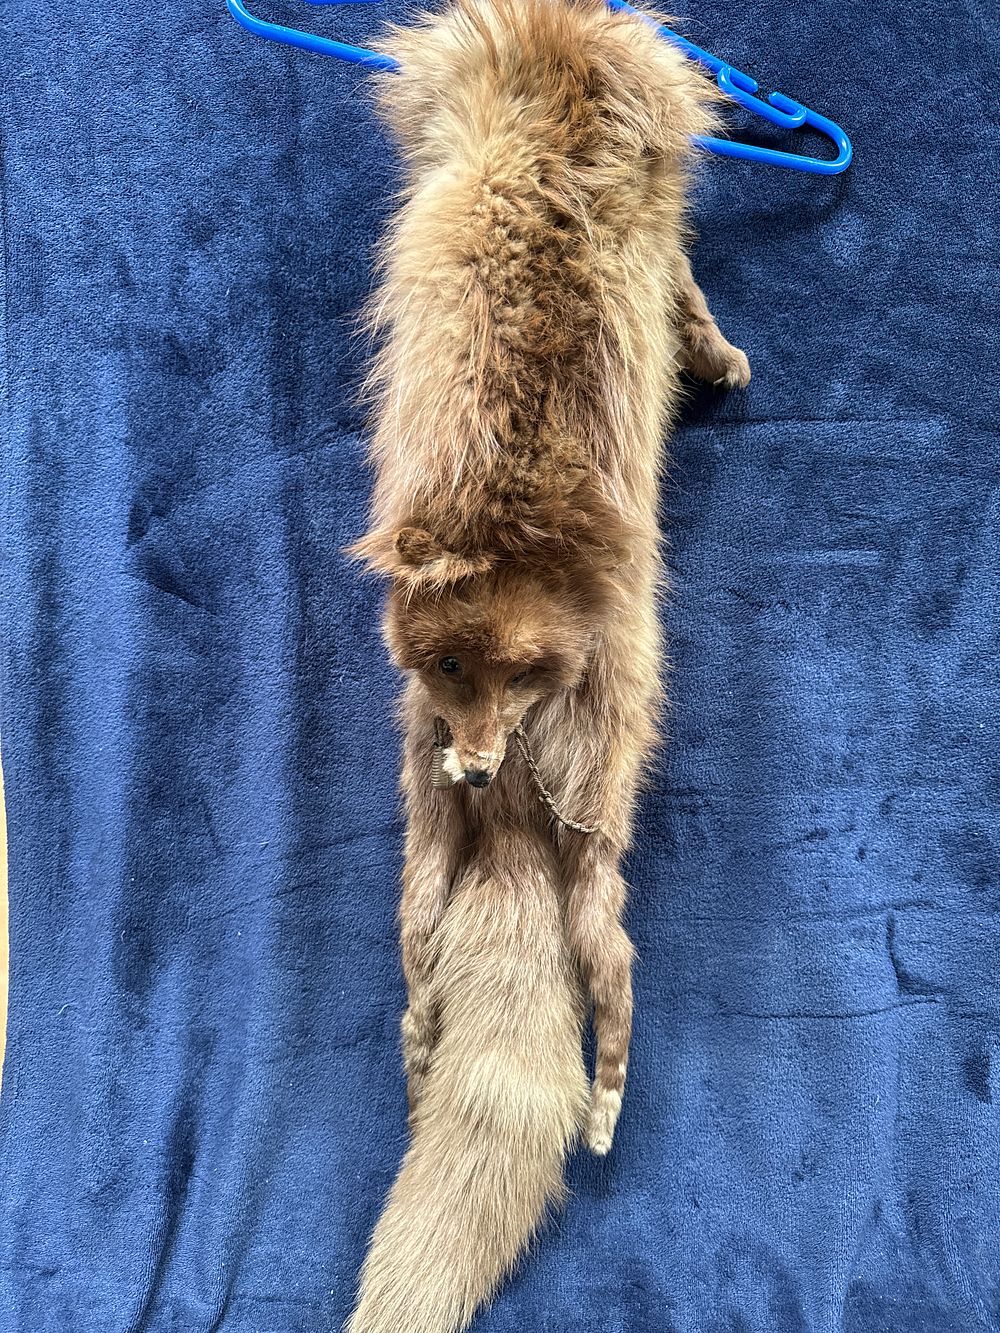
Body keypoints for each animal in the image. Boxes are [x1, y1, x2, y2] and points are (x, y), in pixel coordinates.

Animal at [346, 0, 750, 1329]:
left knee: (432, 932)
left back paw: (425, 1034)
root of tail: (516, 818)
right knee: (604, 953)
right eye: (456, 669)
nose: (478, 763)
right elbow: (686, 290)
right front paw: (713, 352)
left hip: (457, 807)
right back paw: (604, 1077)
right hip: (561, 794)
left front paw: (712, 354)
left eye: (516, 677)